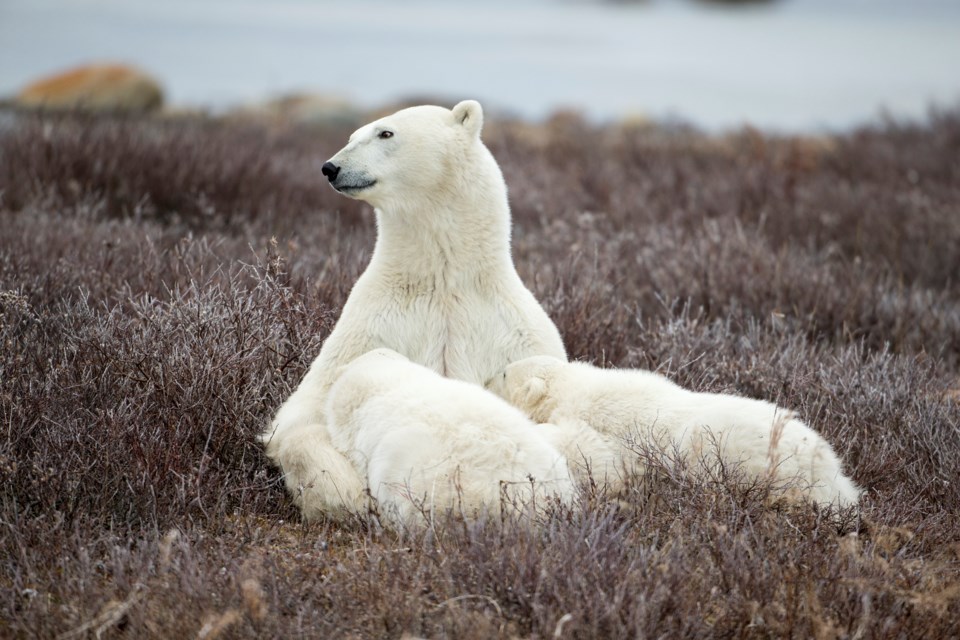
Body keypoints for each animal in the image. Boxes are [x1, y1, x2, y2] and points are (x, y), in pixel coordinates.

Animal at [492, 352, 860, 508]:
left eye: (504, 373)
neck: (572, 387)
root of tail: (827, 466)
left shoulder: (609, 427)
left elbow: (593, 455)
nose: (489, 376)